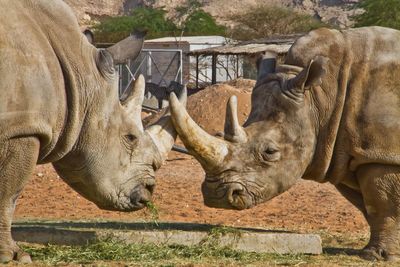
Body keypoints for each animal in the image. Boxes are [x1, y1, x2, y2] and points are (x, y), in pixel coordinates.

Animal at [0, 0, 186, 264]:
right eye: (130, 137)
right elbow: (9, 193)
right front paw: (14, 257)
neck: (79, 71)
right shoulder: (22, 128)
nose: (149, 190)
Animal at [172, 27, 400, 262]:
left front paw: (377, 256)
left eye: (270, 151)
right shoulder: (346, 153)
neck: (321, 97)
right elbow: (369, 205)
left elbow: (385, 204)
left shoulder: (381, 155)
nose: (215, 195)